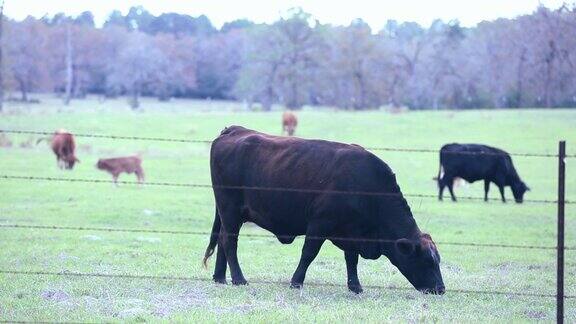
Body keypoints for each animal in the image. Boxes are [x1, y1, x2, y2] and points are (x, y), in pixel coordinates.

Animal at [204, 125, 446, 294]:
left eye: (437, 261)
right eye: (427, 261)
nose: (440, 289)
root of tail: (234, 130)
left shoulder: (352, 232)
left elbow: (351, 258)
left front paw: (355, 286)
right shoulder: (319, 224)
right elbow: (308, 254)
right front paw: (296, 282)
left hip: (228, 214)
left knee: (223, 240)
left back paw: (220, 277)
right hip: (230, 210)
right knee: (229, 242)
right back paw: (238, 279)